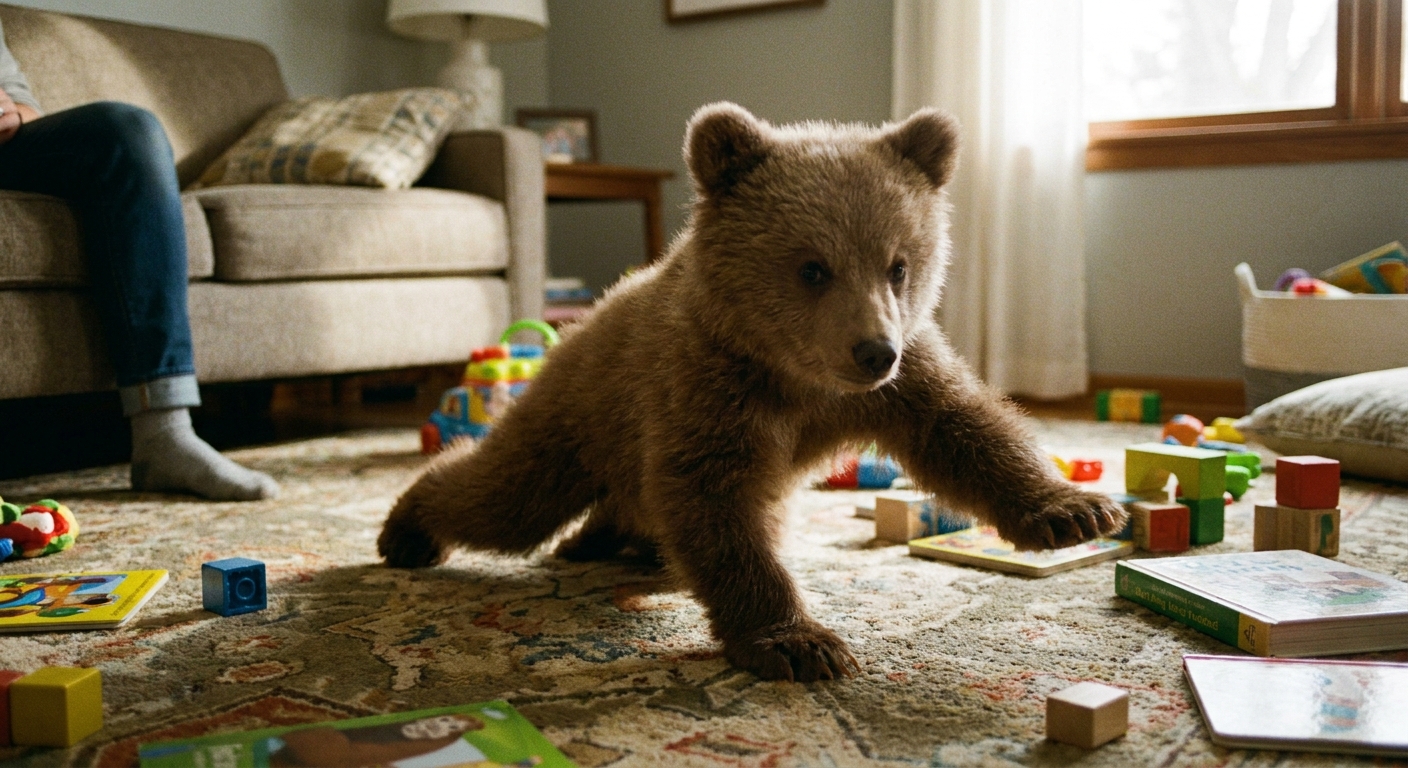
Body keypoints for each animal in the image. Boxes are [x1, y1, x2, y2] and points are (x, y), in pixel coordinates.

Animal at [378, 102, 1127, 683]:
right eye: (813, 267)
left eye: (898, 265)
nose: (872, 351)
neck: (797, 376)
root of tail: (578, 326)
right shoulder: (711, 384)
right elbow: (718, 501)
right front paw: (798, 642)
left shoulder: (900, 384)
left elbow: (963, 429)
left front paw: (1073, 510)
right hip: (582, 416)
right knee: (506, 497)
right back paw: (410, 530)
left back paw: (606, 543)